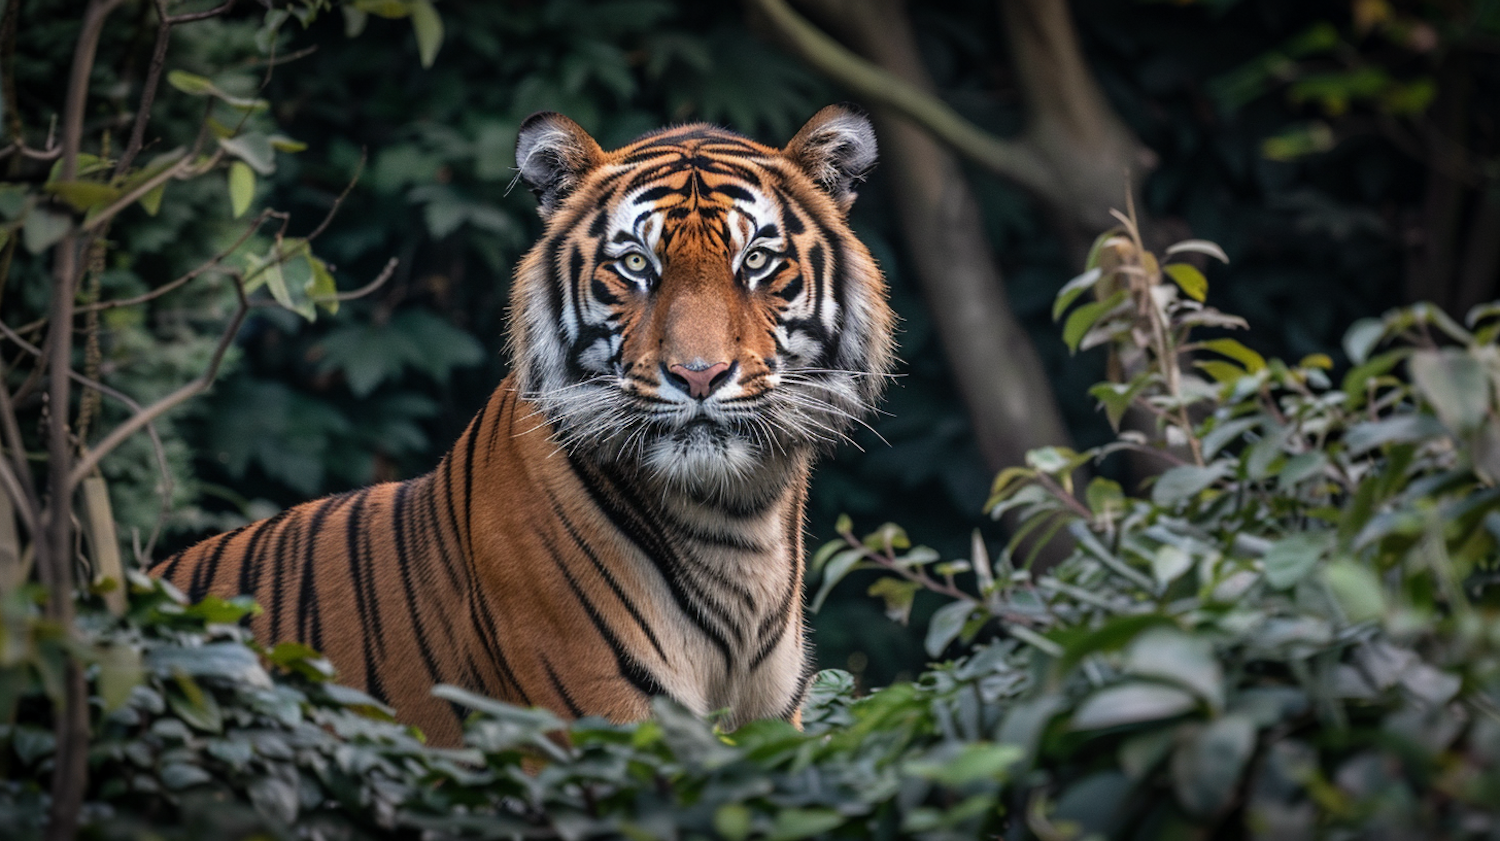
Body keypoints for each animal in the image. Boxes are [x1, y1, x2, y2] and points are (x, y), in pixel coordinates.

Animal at [155, 104, 888, 740]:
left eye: (756, 260)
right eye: (636, 264)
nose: (699, 375)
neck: (736, 517)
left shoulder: (771, 731)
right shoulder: (601, 721)